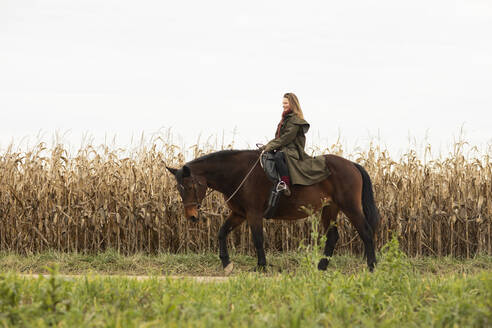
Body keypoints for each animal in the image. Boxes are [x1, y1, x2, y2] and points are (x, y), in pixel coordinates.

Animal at [166, 149, 380, 272]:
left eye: (190, 186)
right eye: (178, 188)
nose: (191, 216)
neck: (239, 173)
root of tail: (352, 164)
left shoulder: (253, 214)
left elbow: (258, 239)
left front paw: (261, 266)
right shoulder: (239, 214)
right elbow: (221, 232)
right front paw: (226, 264)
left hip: (350, 207)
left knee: (366, 232)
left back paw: (371, 266)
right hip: (330, 209)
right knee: (333, 237)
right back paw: (321, 266)